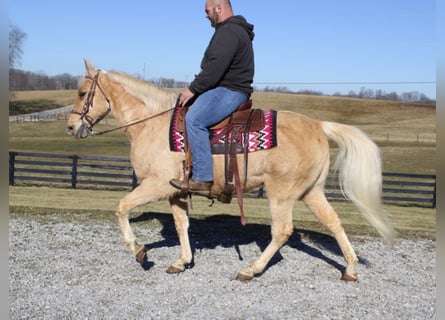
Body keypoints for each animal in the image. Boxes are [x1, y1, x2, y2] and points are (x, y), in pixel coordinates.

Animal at [65, 58, 392, 282]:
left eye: (81, 92)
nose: (70, 127)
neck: (152, 124)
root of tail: (318, 126)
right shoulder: (176, 192)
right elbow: (182, 225)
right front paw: (181, 261)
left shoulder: (155, 185)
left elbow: (121, 207)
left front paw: (138, 250)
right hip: (312, 192)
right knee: (334, 222)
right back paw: (350, 268)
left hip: (281, 194)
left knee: (282, 231)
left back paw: (251, 269)